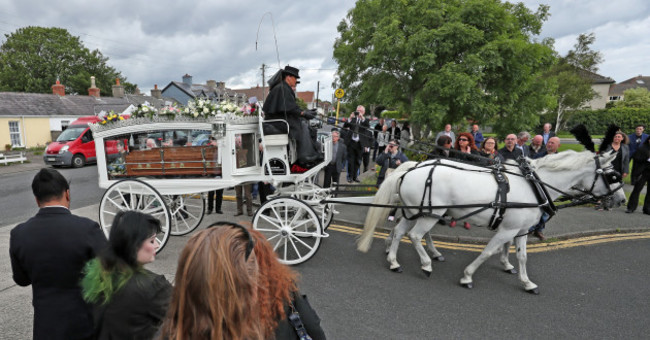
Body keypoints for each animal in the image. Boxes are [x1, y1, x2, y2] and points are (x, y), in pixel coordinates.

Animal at [356, 150, 624, 294]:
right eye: (613, 175)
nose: (621, 199)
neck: (533, 184)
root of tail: (412, 169)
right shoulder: (508, 229)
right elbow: (487, 252)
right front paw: (467, 276)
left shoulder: (521, 229)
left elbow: (522, 257)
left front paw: (526, 282)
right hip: (431, 213)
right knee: (414, 235)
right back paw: (426, 264)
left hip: (417, 211)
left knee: (400, 231)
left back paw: (394, 260)